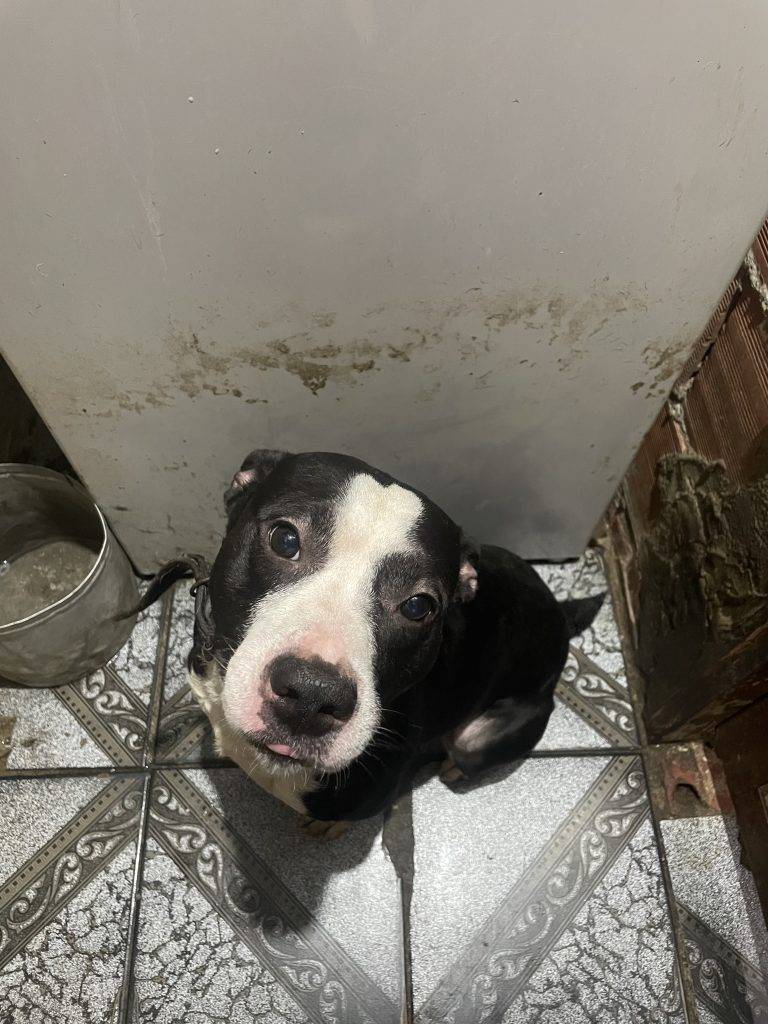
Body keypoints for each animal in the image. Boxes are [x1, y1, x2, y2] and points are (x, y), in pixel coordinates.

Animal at [144, 450, 603, 832]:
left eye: (418, 606)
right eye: (284, 539)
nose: (311, 695)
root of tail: (561, 619)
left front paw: (329, 825)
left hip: (479, 737)